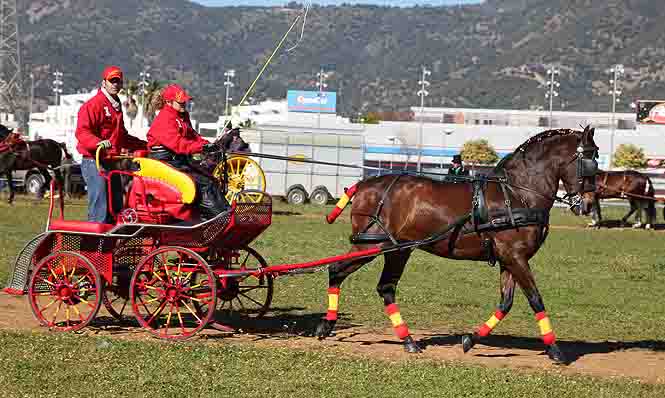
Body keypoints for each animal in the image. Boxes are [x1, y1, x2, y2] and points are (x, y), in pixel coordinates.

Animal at [314, 126, 600, 364]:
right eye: (589, 162)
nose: (588, 205)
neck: (518, 193)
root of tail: (364, 184)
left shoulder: (509, 259)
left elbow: (505, 303)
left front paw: (470, 339)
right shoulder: (515, 257)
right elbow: (535, 300)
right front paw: (555, 350)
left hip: (398, 249)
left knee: (381, 286)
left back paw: (403, 339)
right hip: (373, 246)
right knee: (339, 271)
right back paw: (331, 325)